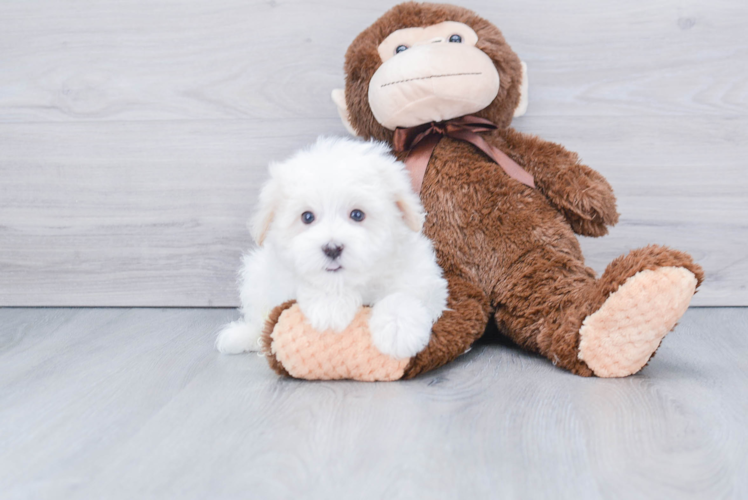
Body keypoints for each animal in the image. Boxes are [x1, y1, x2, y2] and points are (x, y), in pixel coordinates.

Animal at [216, 136, 450, 360]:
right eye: (307, 217)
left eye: (357, 214)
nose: (332, 248)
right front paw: (330, 306)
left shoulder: (423, 278)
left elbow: (406, 293)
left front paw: (398, 329)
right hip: (256, 276)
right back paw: (240, 335)